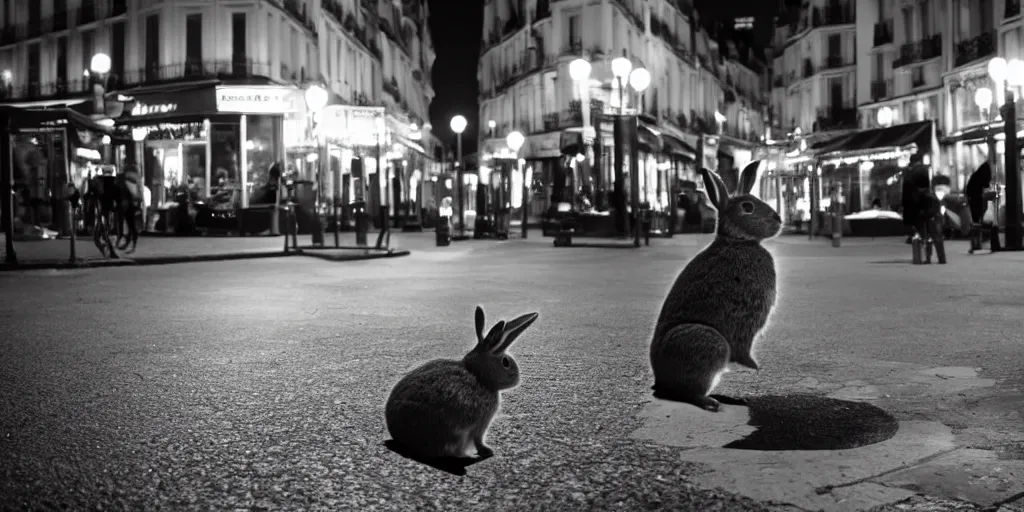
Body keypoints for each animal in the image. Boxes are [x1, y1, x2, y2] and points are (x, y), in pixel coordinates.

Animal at [385, 305, 540, 458]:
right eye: (505, 362)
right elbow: (478, 439)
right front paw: (487, 451)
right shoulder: (481, 423)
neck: (477, 374)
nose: (518, 379)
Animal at [647, 161, 782, 413]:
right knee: (688, 393)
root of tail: (660, 382)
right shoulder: (746, 318)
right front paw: (753, 366)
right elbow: (744, 346)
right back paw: (712, 403)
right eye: (747, 207)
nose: (778, 218)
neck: (738, 240)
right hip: (711, 344)